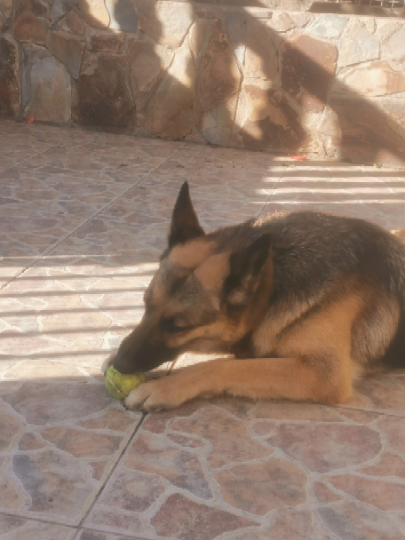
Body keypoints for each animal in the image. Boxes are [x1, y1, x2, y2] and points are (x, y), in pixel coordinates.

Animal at [104, 181, 405, 412]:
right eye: (145, 306)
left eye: (177, 326)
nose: (120, 364)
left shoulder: (324, 374)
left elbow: (223, 367)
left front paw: (164, 386)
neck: (273, 279)